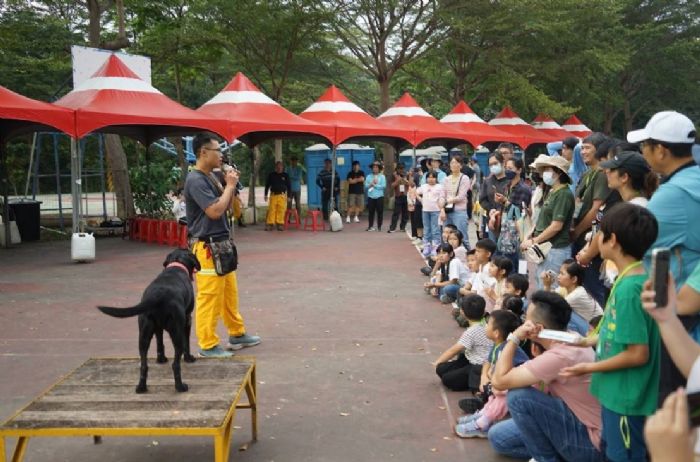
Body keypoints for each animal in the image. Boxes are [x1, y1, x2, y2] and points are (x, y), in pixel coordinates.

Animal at [97, 249, 200, 394]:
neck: (176, 264)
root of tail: (157, 296)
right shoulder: (187, 319)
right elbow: (187, 343)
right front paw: (189, 358)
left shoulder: (157, 328)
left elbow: (160, 343)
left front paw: (161, 359)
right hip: (176, 332)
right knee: (175, 364)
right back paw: (180, 387)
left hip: (144, 335)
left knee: (143, 366)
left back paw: (141, 387)